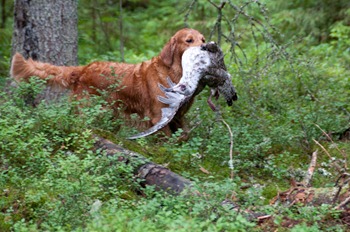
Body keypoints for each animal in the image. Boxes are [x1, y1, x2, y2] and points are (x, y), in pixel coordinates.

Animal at [10, 28, 205, 136]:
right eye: (189, 40)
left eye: (202, 39)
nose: (205, 46)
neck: (174, 73)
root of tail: (84, 68)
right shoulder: (158, 117)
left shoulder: (178, 116)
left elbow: (184, 135)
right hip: (88, 111)